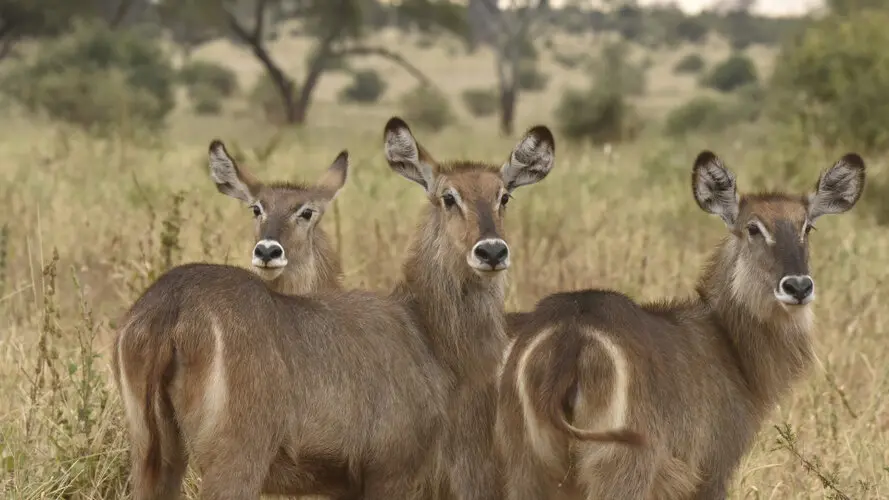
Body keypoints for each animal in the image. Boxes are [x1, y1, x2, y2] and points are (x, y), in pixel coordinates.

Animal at [500, 150, 868, 498]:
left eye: (807, 227)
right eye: (753, 228)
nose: (798, 286)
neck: (728, 344)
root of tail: (571, 334)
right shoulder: (714, 467)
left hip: (525, 469)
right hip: (622, 466)